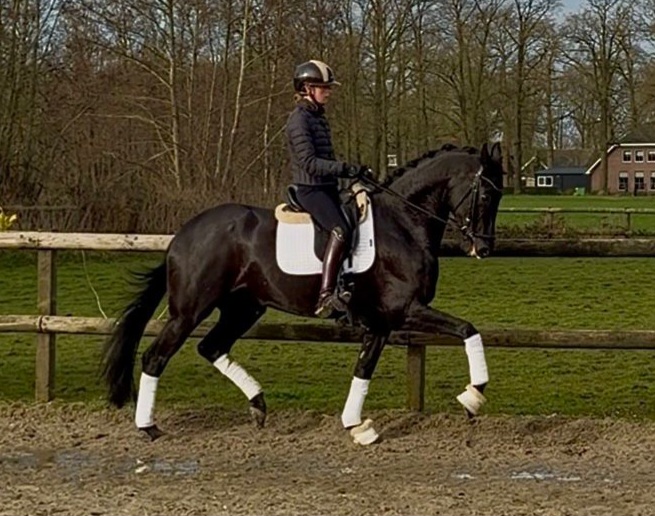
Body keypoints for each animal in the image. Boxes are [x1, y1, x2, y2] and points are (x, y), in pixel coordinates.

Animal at [101, 142, 505, 445]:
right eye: (486, 193)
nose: (484, 248)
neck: (403, 224)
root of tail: (182, 235)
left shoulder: (381, 322)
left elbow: (363, 368)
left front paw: (356, 426)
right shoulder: (405, 309)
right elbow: (468, 329)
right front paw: (473, 397)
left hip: (244, 308)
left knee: (211, 347)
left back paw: (258, 404)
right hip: (190, 311)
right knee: (155, 357)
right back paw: (148, 427)